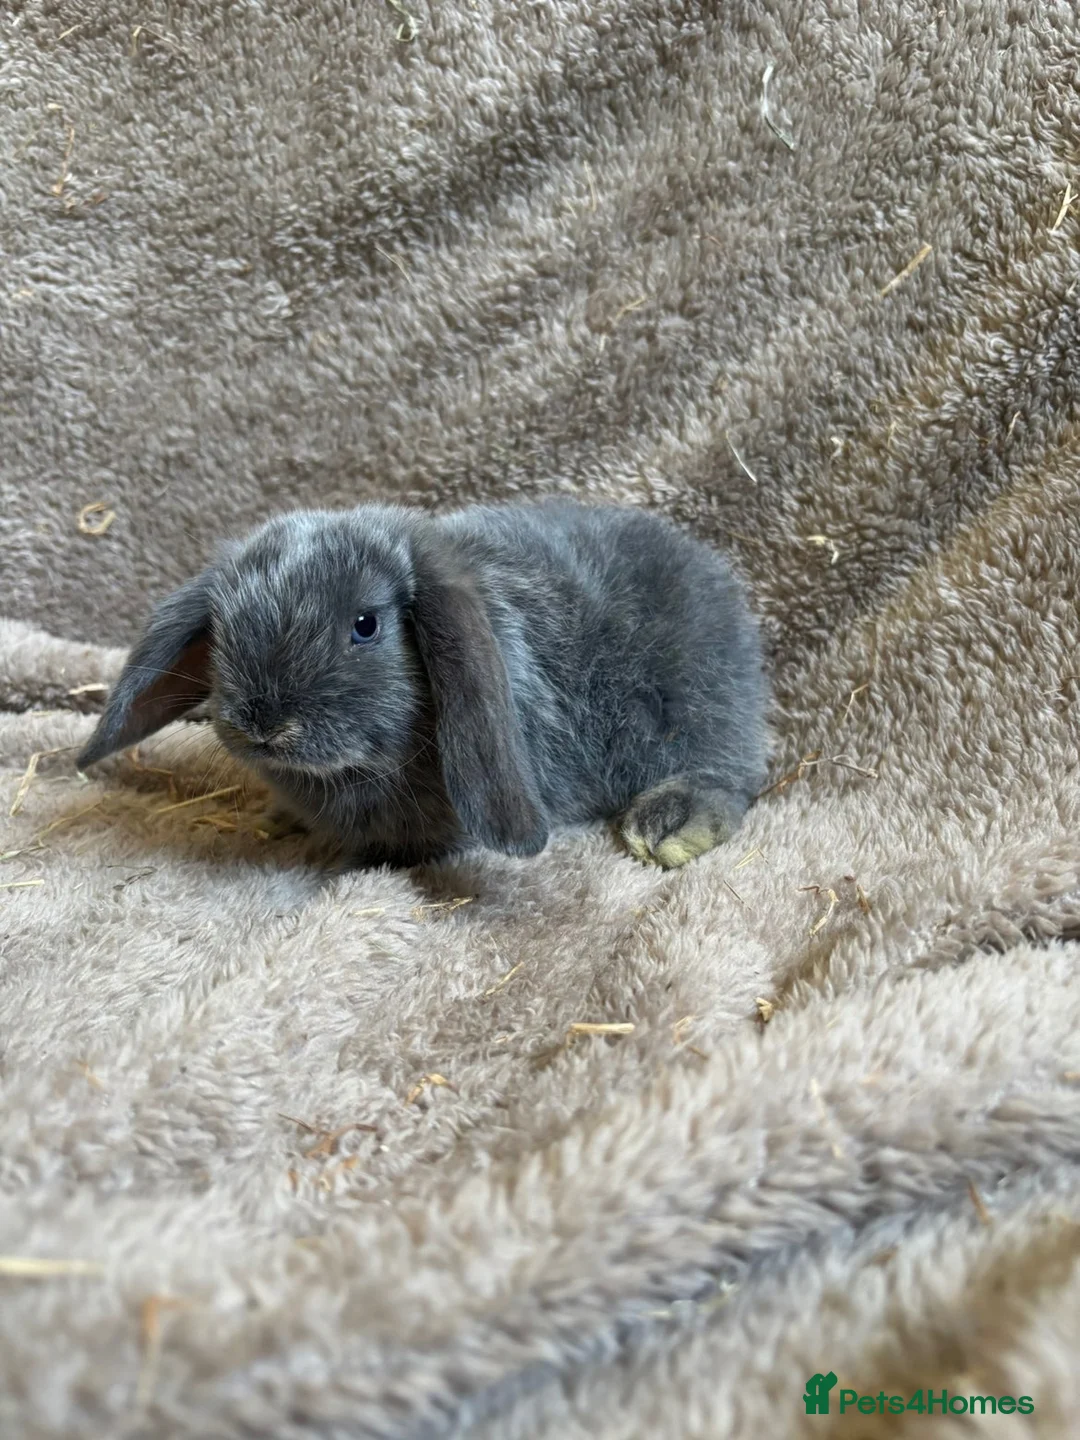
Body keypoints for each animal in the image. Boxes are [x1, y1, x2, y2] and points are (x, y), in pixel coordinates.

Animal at [78, 501, 770, 869]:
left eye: (366, 625)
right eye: (223, 628)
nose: (264, 724)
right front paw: (278, 820)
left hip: (695, 708)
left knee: (730, 777)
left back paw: (666, 826)